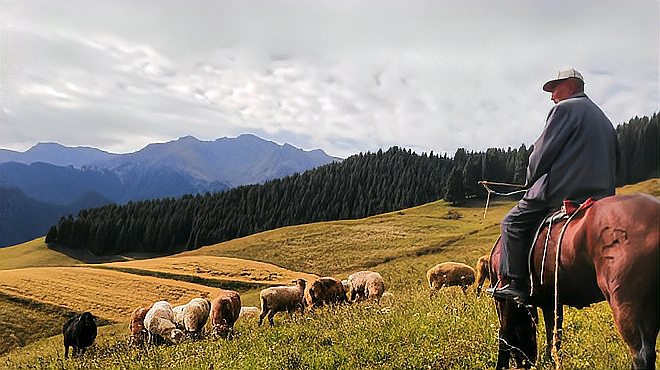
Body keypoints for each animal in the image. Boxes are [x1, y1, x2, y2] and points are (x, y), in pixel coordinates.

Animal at [488, 194, 656, 370]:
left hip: (626, 304)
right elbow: (553, 340)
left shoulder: (506, 301)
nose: (527, 363)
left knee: (641, 355)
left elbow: (504, 334)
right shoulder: (550, 302)